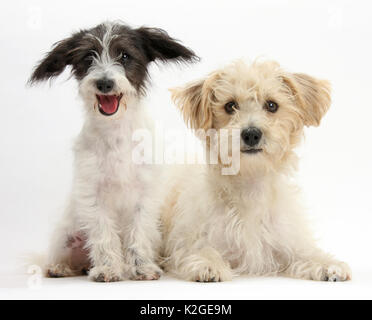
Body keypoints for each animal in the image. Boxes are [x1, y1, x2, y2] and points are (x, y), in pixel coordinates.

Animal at [29, 20, 198, 282]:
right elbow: (103, 234)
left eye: (125, 56)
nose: (105, 83)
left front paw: (142, 268)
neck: (116, 133)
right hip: (65, 237)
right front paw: (108, 268)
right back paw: (61, 267)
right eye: (88, 57)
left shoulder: (144, 194)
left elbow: (139, 233)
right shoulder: (94, 195)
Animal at [159, 60, 352, 282]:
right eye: (230, 105)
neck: (250, 185)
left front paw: (328, 264)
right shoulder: (191, 240)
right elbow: (201, 250)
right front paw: (209, 264)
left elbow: (307, 253)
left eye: (271, 105)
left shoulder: (289, 243)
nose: (251, 134)